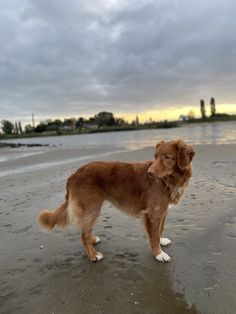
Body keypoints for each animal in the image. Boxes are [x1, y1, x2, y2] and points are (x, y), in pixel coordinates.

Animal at [37, 140, 195, 262]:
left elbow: (160, 229)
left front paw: (162, 241)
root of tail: (73, 175)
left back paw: (92, 240)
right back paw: (93, 255)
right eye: (155, 157)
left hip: (91, 210)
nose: (150, 173)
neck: (168, 181)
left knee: (86, 230)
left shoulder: (162, 212)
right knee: (83, 235)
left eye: (167, 157)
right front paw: (159, 254)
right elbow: (154, 236)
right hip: (92, 208)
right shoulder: (153, 214)